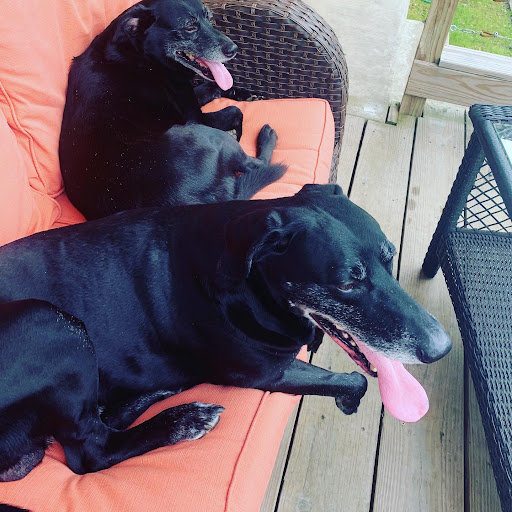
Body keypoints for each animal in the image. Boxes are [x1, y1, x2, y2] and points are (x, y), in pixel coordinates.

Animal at [0, 184, 452, 480]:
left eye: (389, 257)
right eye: (346, 283)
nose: (442, 347)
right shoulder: (268, 373)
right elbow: (354, 380)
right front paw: (348, 399)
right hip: (49, 324)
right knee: (90, 452)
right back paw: (182, 419)